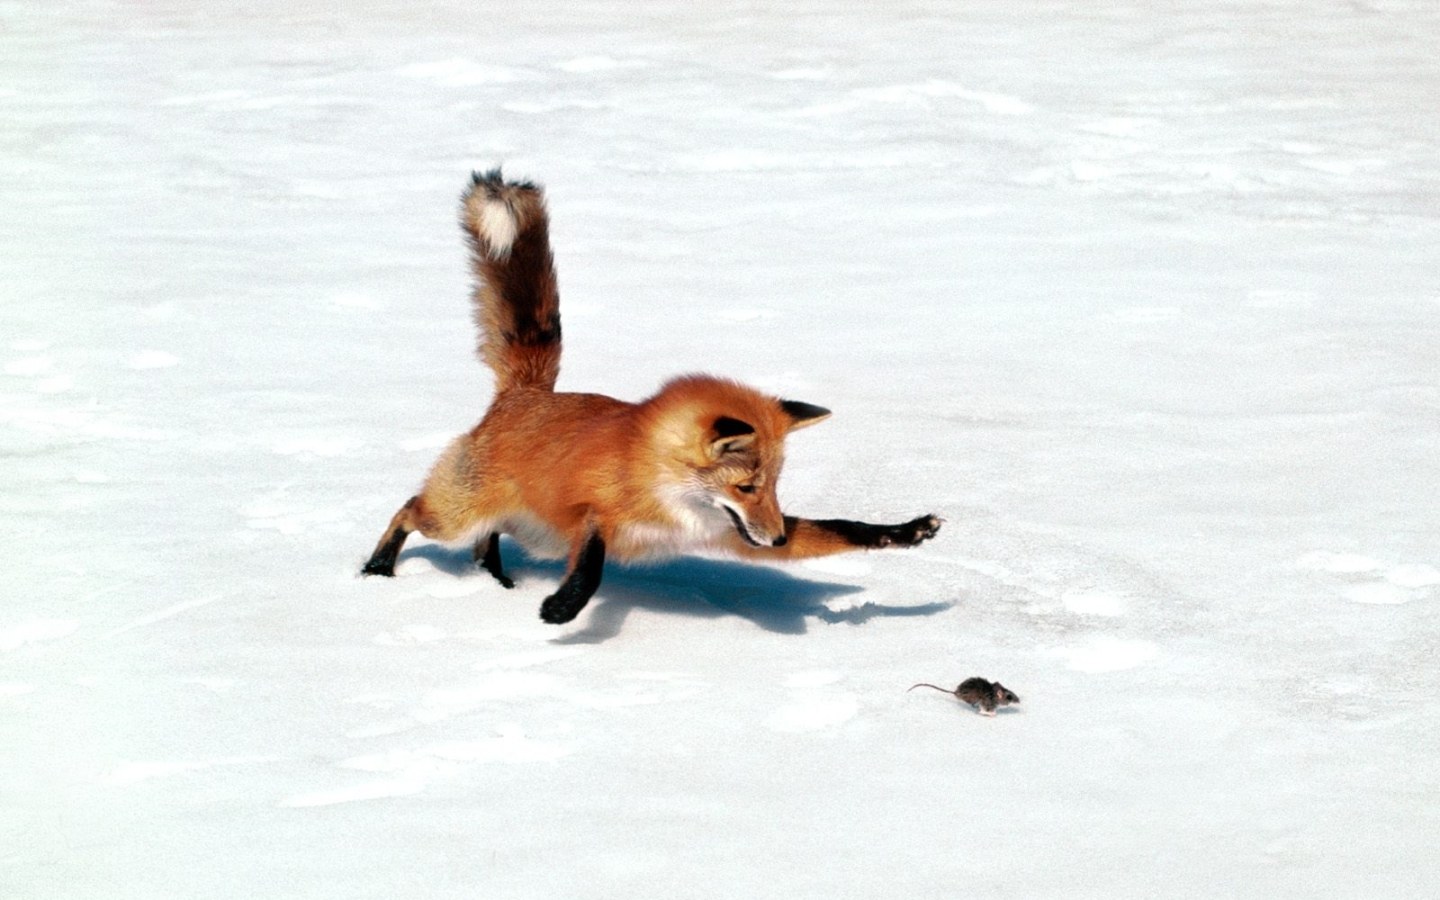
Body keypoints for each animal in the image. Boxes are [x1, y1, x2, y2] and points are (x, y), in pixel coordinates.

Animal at [362, 170, 942, 625]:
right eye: (747, 486)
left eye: (775, 487)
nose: (777, 539)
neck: (664, 489)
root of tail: (525, 393)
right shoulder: (591, 513)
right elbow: (593, 562)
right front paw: (564, 607)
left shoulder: (731, 533)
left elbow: (845, 528)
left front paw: (906, 531)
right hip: (458, 516)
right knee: (409, 510)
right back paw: (376, 569)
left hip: (520, 528)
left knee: (485, 542)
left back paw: (495, 581)